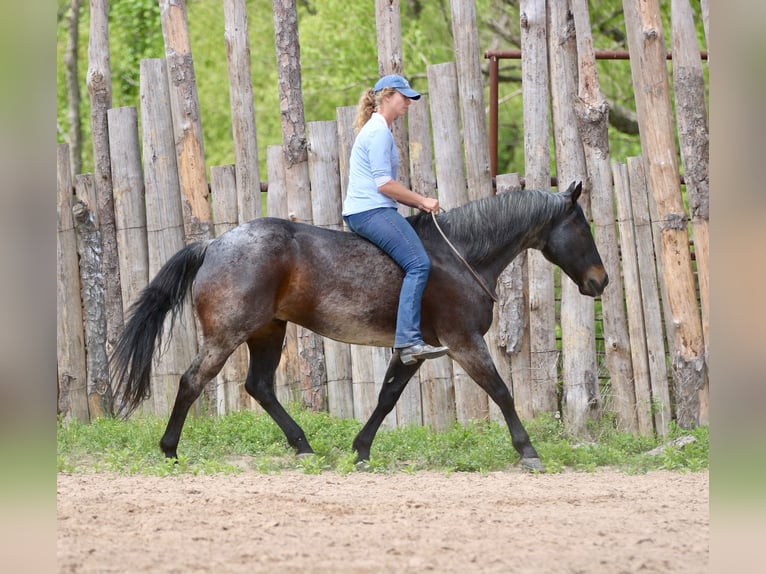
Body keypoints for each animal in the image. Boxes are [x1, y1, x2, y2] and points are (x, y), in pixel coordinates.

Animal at [111, 180, 608, 472]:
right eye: (583, 227)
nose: (600, 281)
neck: (460, 256)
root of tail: (214, 244)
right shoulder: (463, 342)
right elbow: (501, 392)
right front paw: (529, 451)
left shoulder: (414, 349)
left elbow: (387, 397)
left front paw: (360, 449)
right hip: (227, 335)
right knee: (192, 380)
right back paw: (170, 450)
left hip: (269, 331)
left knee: (260, 387)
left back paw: (303, 445)